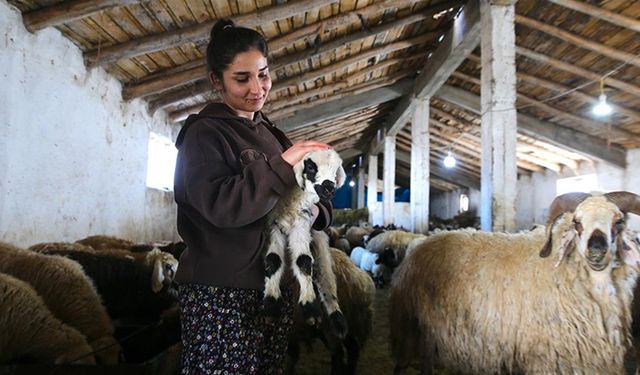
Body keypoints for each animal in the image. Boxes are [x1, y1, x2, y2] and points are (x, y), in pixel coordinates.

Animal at [262, 148, 348, 336]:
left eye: (335, 170)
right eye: (310, 167)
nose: (329, 188)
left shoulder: (302, 221)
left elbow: (304, 261)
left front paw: (310, 307)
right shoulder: (273, 224)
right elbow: (273, 260)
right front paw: (271, 304)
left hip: (319, 241)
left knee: (326, 276)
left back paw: (338, 321)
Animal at [388, 192, 640, 374]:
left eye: (619, 222)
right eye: (577, 222)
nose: (596, 249)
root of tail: (418, 246)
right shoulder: (545, 355)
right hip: (411, 330)